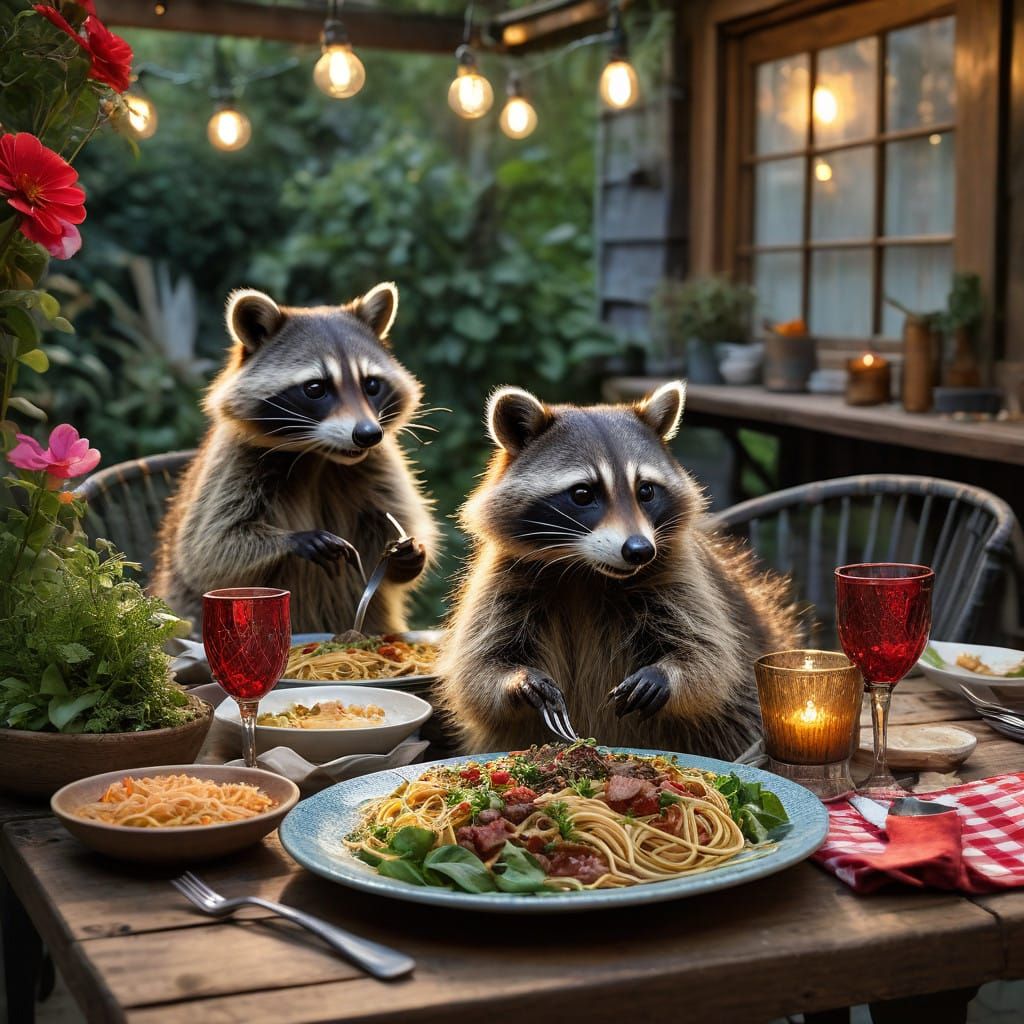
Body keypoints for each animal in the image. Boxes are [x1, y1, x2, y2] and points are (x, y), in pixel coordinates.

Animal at [151, 283, 438, 634]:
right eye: (315, 388)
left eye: (371, 384)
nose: (369, 434)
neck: (320, 456)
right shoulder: (232, 465)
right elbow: (208, 550)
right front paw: (295, 540)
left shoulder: (380, 466)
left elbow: (390, 529)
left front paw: (404, 557)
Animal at [436, 381, 802, 760]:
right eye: (582, 493)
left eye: (646, 490)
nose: (640, 550)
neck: (584, 570)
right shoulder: (504, 576)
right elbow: (478, 670)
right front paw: (519, 679)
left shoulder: (680, 574)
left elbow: (710, 659)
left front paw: (665, 674)